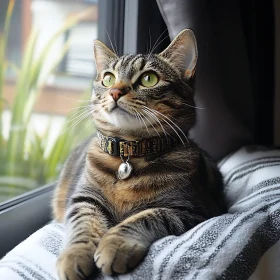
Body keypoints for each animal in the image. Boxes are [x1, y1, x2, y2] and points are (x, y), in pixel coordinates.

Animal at [53, 29, 225, 280]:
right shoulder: (85, 198)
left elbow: (145, 218)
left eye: (149, 79)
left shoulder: (190, 209)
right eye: (108, 78)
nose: (115, 91)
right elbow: (84, 223)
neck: (129, 155)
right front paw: (75, 254)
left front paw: (116, 245)